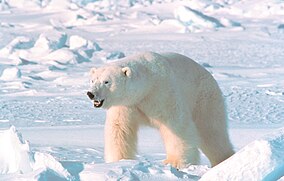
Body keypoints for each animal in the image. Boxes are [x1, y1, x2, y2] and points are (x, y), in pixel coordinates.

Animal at [87, 52, 234, 168]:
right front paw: (119, 161)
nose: (91, 94)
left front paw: (175, 162)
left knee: (211, 131)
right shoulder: (126, 105)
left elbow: (176, 126)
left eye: (106, 81)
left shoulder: (162, 93)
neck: (146, 86)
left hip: (204, 99)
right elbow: (119, 129)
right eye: (93, 80)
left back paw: (224, 160)